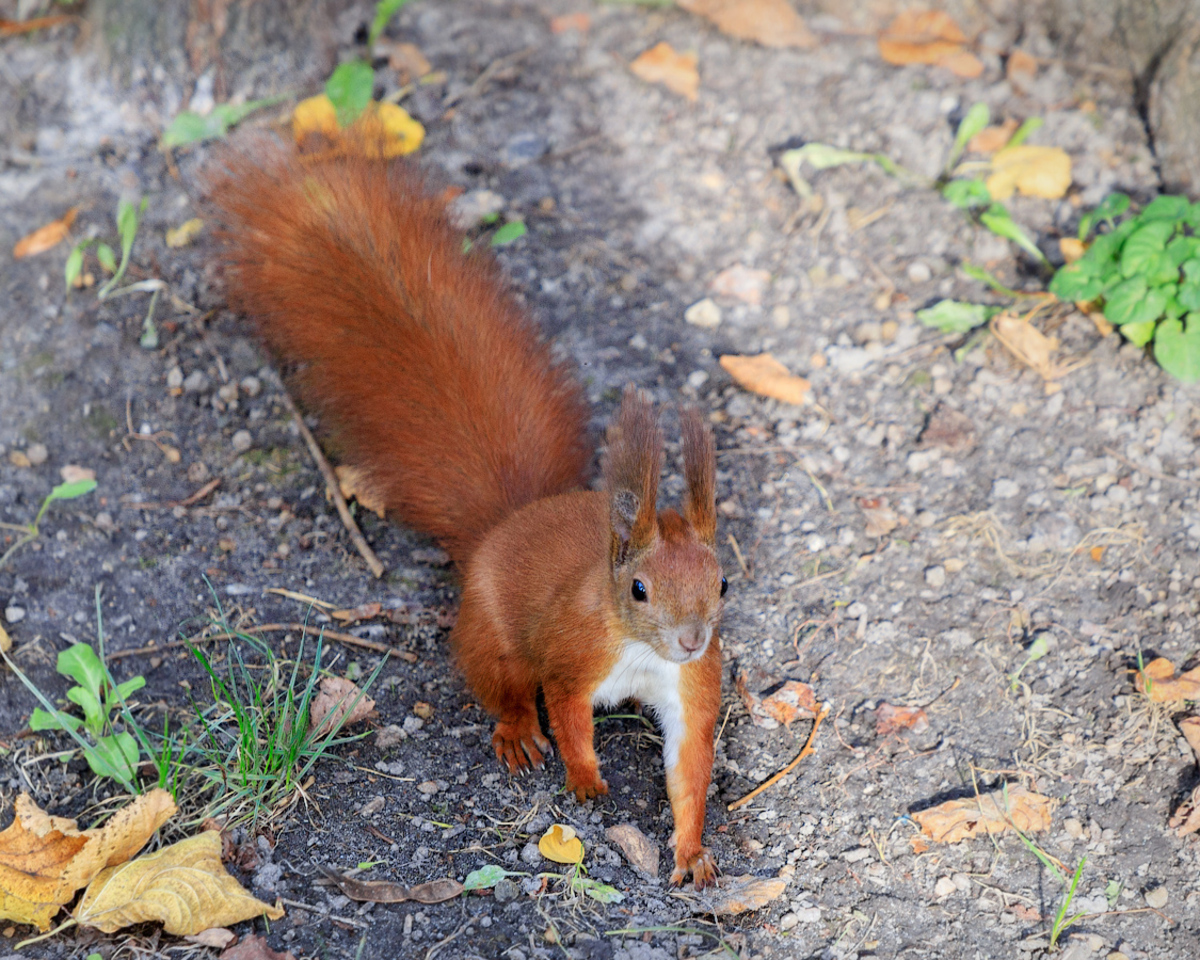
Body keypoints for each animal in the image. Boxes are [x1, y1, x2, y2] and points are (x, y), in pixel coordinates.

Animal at [207, 138, 726, 887]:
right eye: (638, 589)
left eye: (723, 584)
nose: (691, 639)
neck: (640, 652)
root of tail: (503, 526)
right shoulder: (572, 656)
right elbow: (567, 713)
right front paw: (586, 777)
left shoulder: (691, 688)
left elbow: (689, 768)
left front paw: (691, 850)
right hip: (490, 635)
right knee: (501, 686)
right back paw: (517, 734)